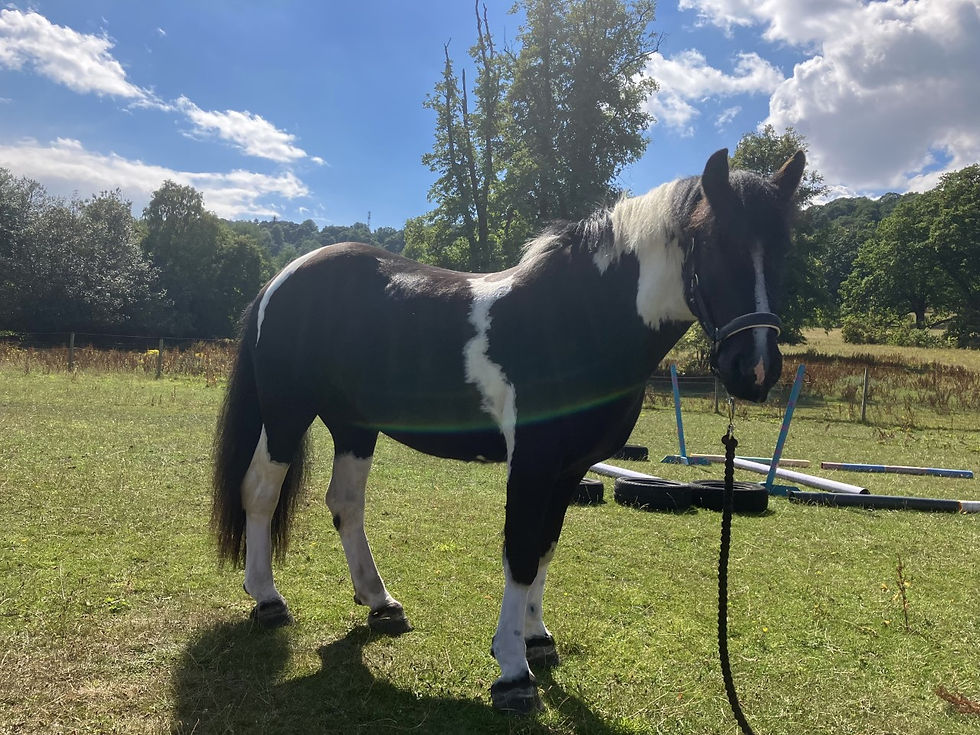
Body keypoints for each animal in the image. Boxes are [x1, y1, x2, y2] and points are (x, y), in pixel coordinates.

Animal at [212, 148, 806, 714]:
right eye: (713, 244)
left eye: (784, 248)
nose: (754, 370)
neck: (578, 319)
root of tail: (282, 278)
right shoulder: (533, 461)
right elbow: (520, 549)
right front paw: (513, 673)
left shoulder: (570, 467)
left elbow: (544, 546)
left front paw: (536, 639)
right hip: (287, 412)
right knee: (260, 490)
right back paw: (267, 599)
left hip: (355, 427)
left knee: (345, 503)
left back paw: (381, 603)